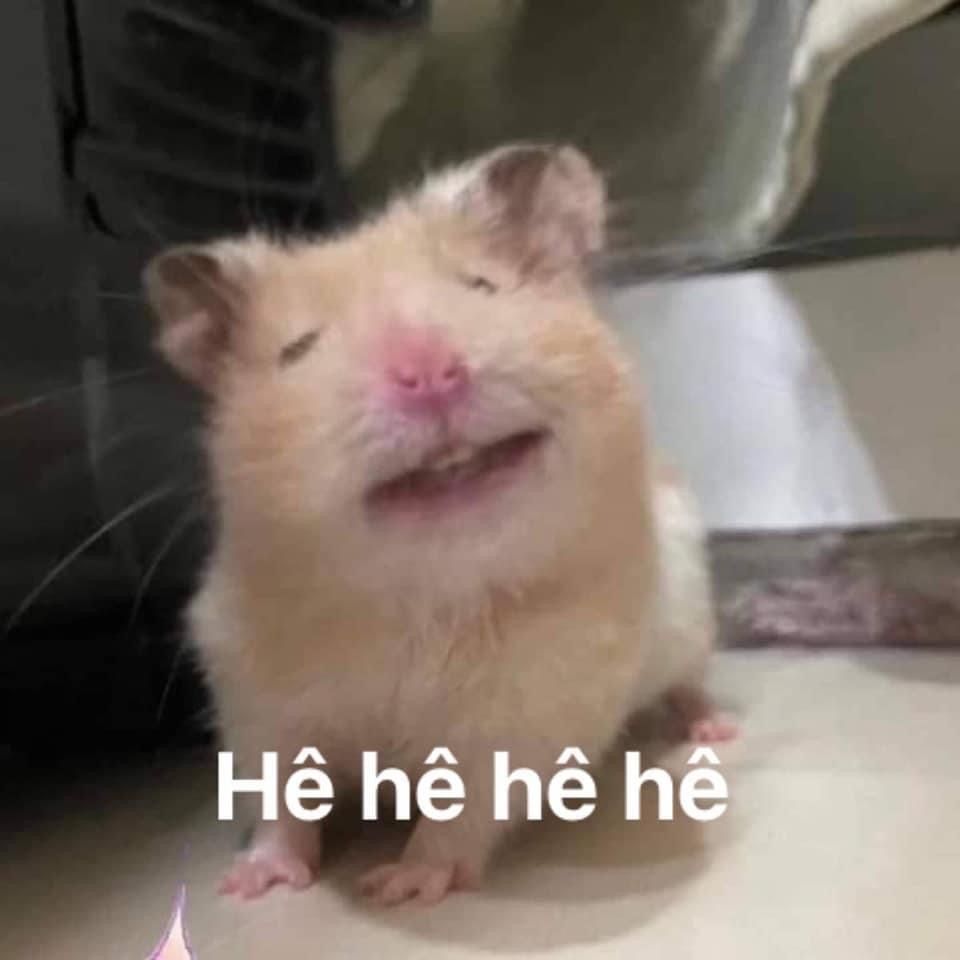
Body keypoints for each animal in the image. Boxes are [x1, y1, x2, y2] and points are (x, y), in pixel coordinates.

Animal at [144, 143, 734, 907]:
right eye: (297, 350)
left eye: (482, 287)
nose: (430, 374)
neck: (425, 595)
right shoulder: (257, 707)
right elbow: (282, 803)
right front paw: (250, 883)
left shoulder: (522, 725)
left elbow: (461, 814)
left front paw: (397, 884)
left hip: (690, 622)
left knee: (689, 682)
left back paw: (712, 729)